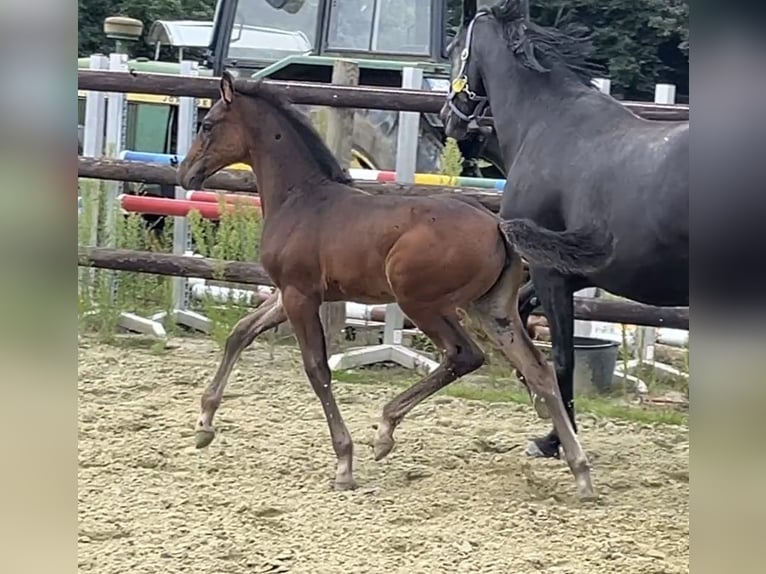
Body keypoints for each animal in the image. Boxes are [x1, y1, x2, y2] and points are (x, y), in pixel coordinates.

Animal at [176, 71, 616, 499]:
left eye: (208, 124)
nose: (185, 173)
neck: (300, 199)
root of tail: (498, 226)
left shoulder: (301, 296)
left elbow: (317, 369)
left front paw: (344, 463)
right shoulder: (290, 293)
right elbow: (239, 333)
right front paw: (203, 425)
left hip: (419, 302)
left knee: (463, 355)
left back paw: (386, 430)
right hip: (490, 309)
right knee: (538, 370)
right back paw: (581, 473)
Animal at [441, 0, 689, 459]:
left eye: (451, 49)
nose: (450, 118)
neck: (544, 122)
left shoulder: (548, 270)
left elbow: (561, 355)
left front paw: (555, 438)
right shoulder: (575, 273)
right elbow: (521, 314)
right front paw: (535, 397)